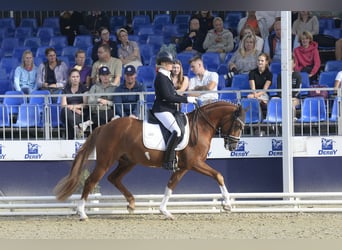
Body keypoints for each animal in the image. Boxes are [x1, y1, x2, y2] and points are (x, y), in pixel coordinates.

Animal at [53, 100, 246, 220]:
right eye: (237, 125)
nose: (233, 146)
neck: (201, 126)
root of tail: (104, 126)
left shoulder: (182, 167)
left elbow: (170, 186)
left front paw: (165, 212)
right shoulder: (194, 163)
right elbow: (218, 175)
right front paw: (227, 205)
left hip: (128, 161)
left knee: (114, 178)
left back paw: (131, 204)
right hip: (105, 161)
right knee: (91, 181)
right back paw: (82, 213)